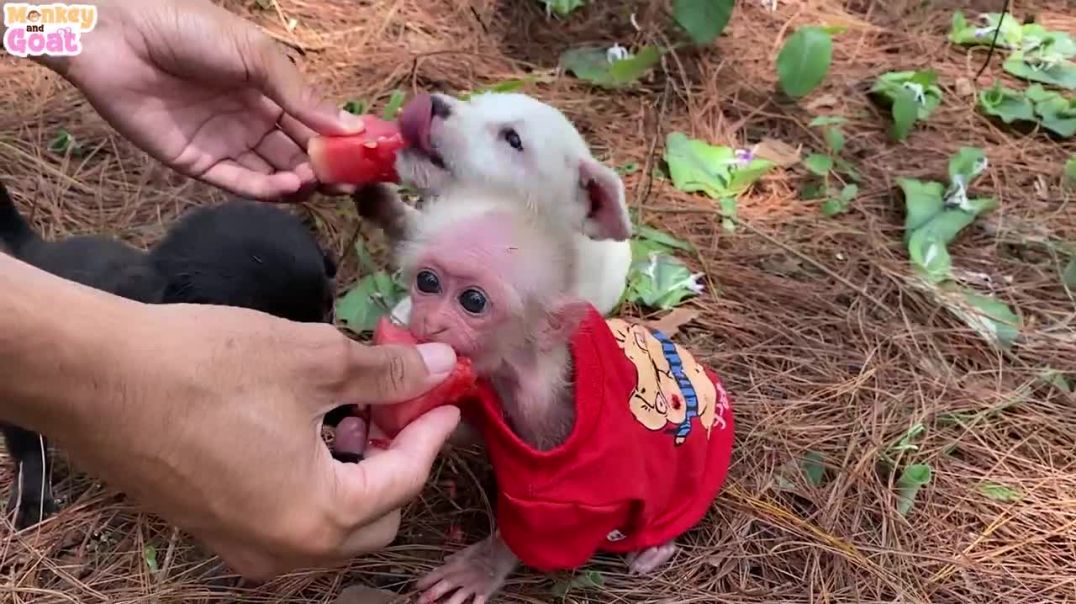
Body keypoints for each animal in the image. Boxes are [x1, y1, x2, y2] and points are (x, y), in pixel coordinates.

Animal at [361, 186, 736, 604]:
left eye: (473, 301)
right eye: (427, 281)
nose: (431, 321)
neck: (519, 365)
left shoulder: (551, 421)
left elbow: (555, 522)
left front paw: (486, 565)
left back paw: (657, 544)